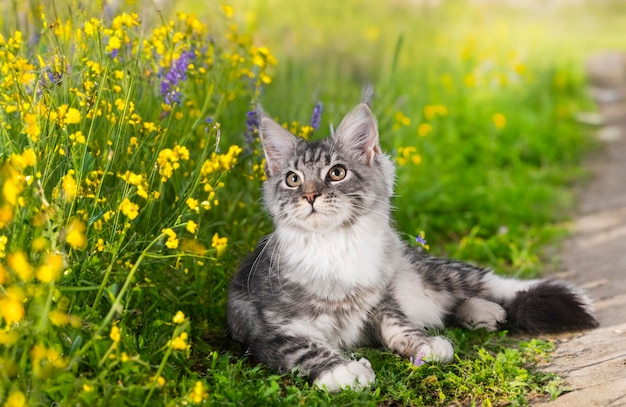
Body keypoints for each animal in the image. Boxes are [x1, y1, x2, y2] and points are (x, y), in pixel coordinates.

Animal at [227, 102, 596, 392]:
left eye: (336, 173)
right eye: (293, 179)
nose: (310, 196)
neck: (336, 245)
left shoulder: (381, 302)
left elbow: (399, 326)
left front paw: (426, 345)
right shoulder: (272, 329)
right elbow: (307, 350)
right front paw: (345, 371)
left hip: (439, 271)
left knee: (495, 283)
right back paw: (484, 313)